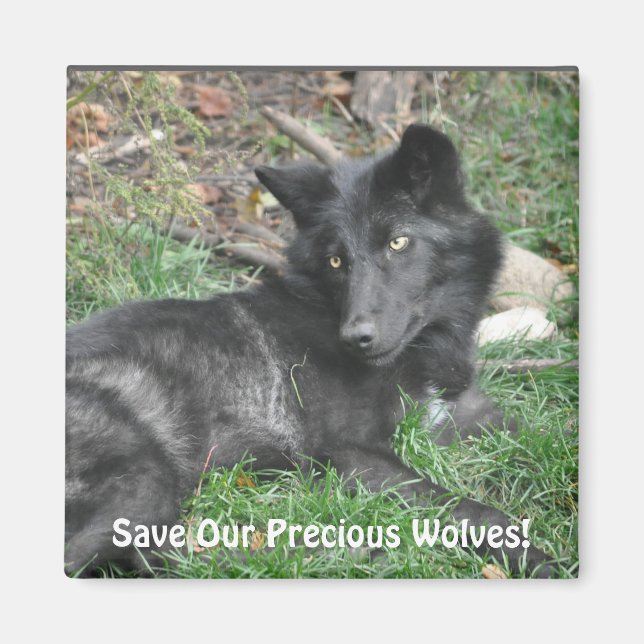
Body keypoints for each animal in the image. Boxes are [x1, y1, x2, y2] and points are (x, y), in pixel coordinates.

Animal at [66, 124, 554, 577]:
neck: (427, 347)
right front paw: (540, 559)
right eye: (337, 260)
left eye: (397, 242)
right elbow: (471, 509)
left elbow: (545, 435)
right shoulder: (350, 455)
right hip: (144, 478)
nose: (356, 337)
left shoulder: (467, 413)